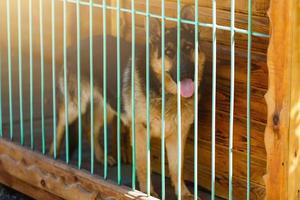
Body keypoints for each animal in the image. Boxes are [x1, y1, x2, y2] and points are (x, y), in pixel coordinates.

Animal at [49, 5, 204, 200]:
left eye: (188, 48)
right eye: (168, 53)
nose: (185, 74)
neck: (163, 90)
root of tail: (75, 45)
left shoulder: (177, 136)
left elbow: (178, 169)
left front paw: (184, 194)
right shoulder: (140, 132)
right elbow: (144, 166)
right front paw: (147, 193)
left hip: (107, 108)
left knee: (90, 129)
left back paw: (102, 158)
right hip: (74, 107)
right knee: (60, 126)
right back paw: (50, 156)